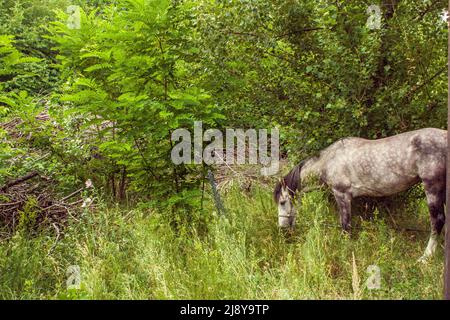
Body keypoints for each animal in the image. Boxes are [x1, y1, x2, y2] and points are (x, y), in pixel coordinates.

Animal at [274, 127, 446, 262]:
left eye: (282, 202)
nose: (282, 228)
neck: (329, 161)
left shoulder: (342, 195)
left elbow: (345, 225)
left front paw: (345, 248)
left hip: (432, 187)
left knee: (437, 221)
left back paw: (426, 257)